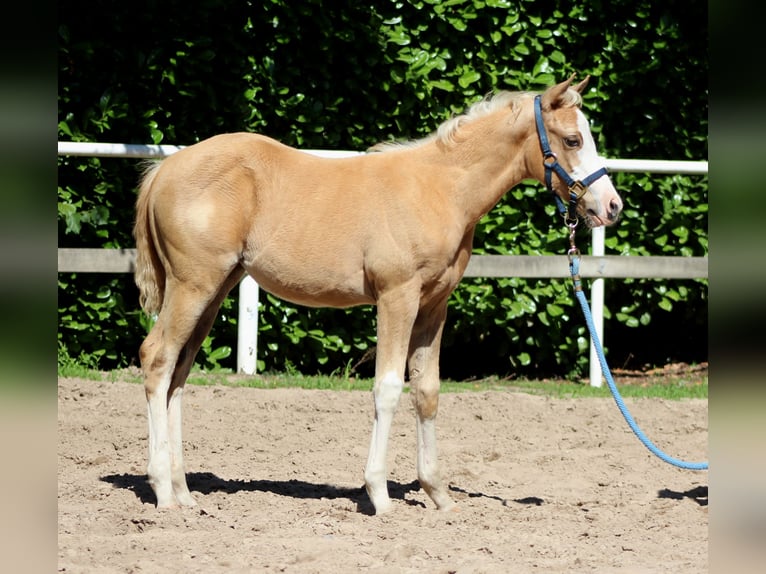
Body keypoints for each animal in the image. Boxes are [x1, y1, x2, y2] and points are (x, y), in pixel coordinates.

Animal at [133, 75, 623, 514]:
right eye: (574, 139)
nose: (611, 206)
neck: (441, 189)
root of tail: (164, 170)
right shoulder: (396, 297)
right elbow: (387, 388)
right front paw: (380, 496)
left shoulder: (434, 305)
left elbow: (427, 390)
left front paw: (438, 495)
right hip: (193, 285)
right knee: (157, 358)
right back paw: (162, 492)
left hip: (215, 290)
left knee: (178, 374)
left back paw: (183, 492)